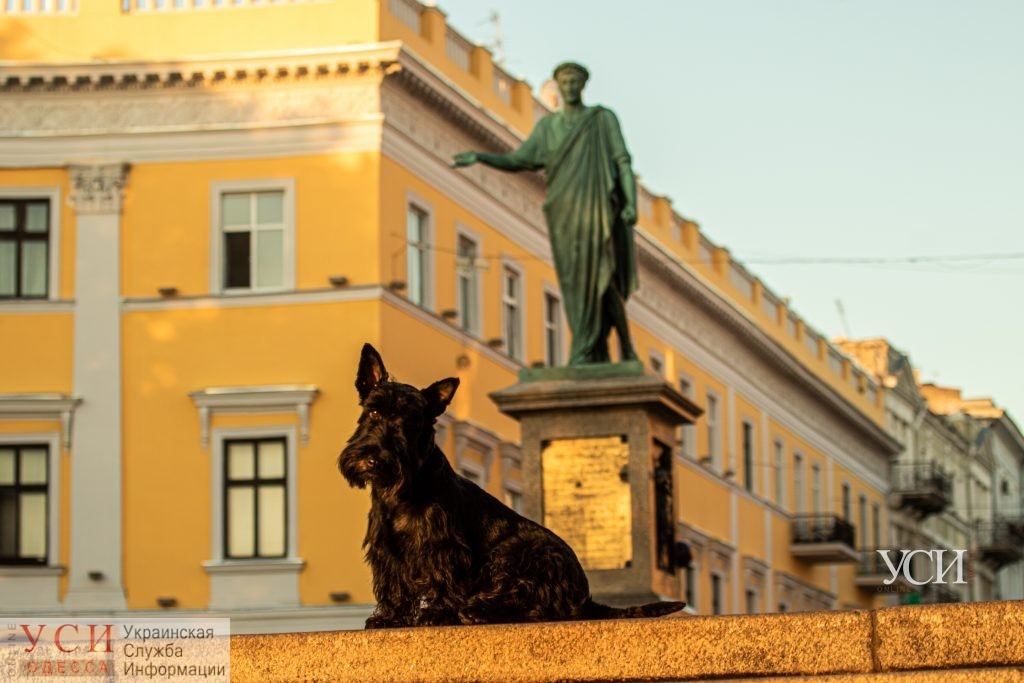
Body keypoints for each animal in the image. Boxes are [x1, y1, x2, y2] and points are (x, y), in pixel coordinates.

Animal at [337, 344, 688, 626]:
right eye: (373, 409)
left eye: (411, 421)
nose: (374, 457)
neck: (402, 491)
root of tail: (585, 596)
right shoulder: (387, 552)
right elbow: (393, 585)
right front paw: (389, 618)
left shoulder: (446, 547)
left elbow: (443, 579)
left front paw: (435, 614)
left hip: (515, 553)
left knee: (530, 603)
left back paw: (477, 611)